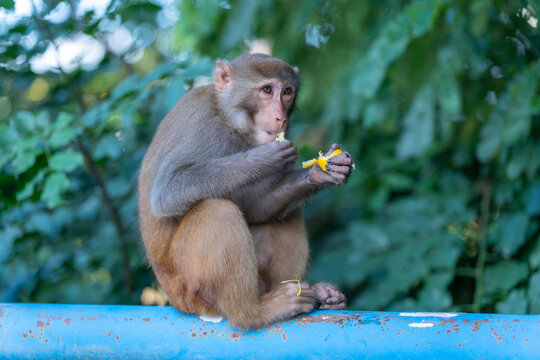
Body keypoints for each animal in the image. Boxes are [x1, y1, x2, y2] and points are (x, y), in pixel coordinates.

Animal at [137, 53, 352, 330]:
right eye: (267, 90)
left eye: (287, 92)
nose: (281, 117)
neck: (229, 118)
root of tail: (174, 300)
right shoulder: (206, 129)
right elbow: (167, 191)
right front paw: (263, 159)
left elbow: (255, 207)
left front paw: (319, 173)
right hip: (189, 288)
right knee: (216, 210)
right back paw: (254, 313)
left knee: (284, 215)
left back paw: (316, 294)